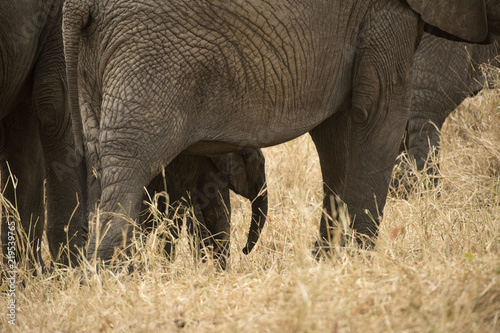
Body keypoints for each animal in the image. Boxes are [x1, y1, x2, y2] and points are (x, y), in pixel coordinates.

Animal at [62, 0, 492, 262]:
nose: (247, 253)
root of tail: (75, 6)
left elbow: (340, 131)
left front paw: (327, 263)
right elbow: (378, 113)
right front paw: (351, 265)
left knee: (101, 162)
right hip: (152, 51)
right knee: (129, 164)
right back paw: (114, 278)